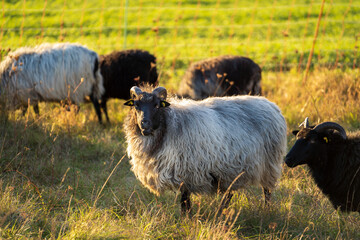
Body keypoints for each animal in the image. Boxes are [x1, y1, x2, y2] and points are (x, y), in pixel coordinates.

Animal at [124, 85, 286, 213]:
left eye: (157, 105)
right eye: (136, 105)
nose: (144, 124)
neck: (168, 125)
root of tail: (269, 104)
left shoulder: (186, 172)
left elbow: (185, 201)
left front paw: (187, 220)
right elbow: (185, 201)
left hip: (269, 163)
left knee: (267, 191)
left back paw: (265, 210)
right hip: (231, 170)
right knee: (229, 194)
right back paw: (220, 212)